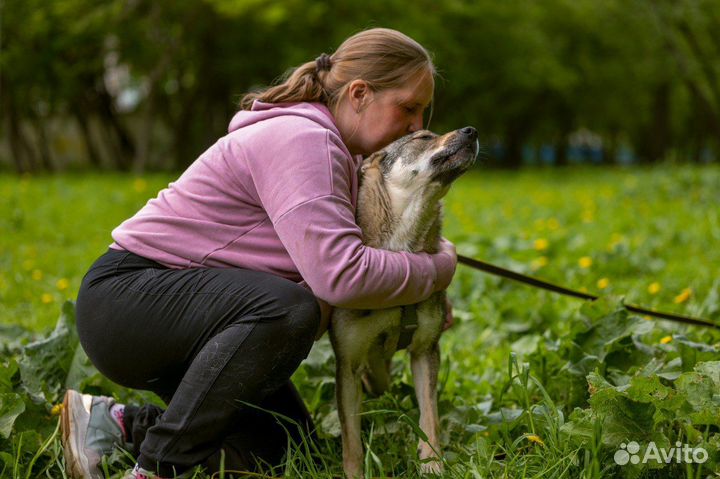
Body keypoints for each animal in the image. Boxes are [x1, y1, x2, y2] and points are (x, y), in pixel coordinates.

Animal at [330, 125, 478, 478]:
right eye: (423, 137)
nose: (472, 130)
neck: (402, 251)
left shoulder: (425, 351)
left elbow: (430, 418)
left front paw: (432, 465)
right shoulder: (348, 364)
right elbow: (351, 439)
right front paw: (355, 473)